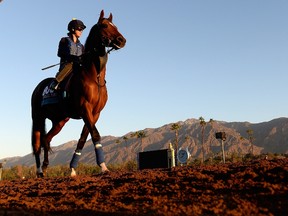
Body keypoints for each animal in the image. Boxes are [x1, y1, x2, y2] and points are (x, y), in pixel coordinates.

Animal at [31, 10, 126, 177]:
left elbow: (83, 138)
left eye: (115, 25)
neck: (94, 77)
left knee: (46, 140)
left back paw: (46, 166)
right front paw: (103, 166)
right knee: (37, 144)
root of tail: (38, 87)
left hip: (59, 120)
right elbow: (95, 134)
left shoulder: (95, 113)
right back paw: (39, 171)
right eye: (104, 25)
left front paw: (73, 169)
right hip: (37, 118)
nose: (122, 40)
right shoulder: (84, 109)